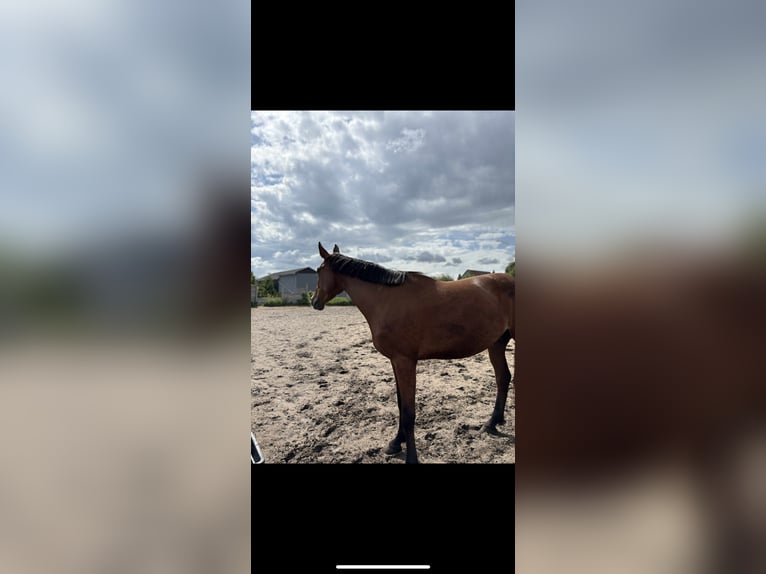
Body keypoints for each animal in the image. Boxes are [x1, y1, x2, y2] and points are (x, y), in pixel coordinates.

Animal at [310, 242, 515, 464]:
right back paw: (492, 423)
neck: (386, 299)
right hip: (496, 344)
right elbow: (401, 404)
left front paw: (411, 457)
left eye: (319, 270)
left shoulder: (405, 361)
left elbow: (409, 412)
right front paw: (395, 443)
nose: (314, 300)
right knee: (503, 378)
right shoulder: (395, 361)